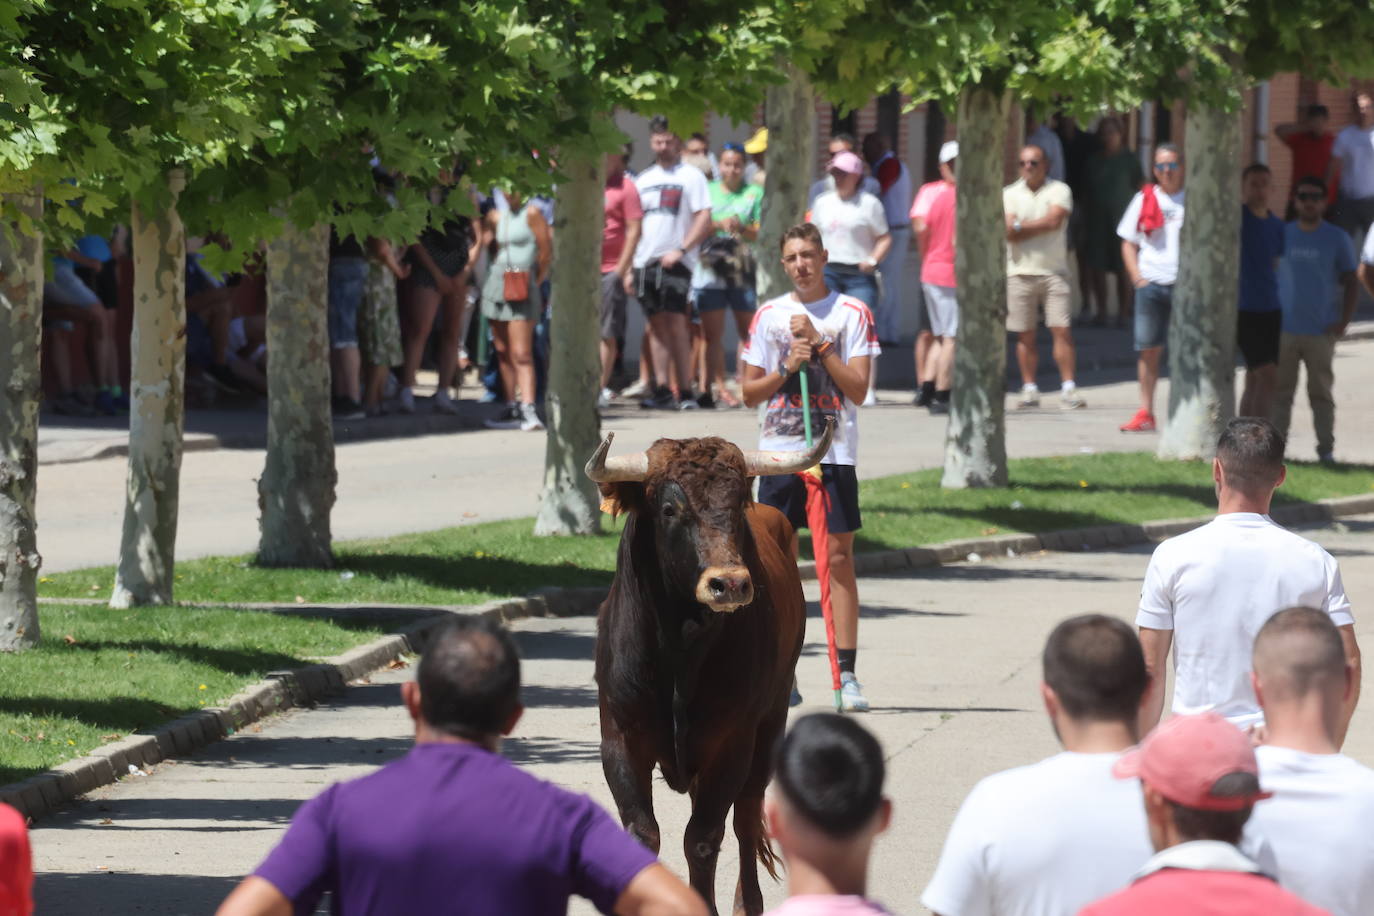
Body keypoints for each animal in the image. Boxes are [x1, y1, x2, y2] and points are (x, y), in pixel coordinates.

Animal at [585, 422, 829, 916]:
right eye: (669, 508)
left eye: (736, 504)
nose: (729, 584)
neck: (678, 648)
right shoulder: (619, 739)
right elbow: (643, 835)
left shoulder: (730, 744)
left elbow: (702, 838)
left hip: (769, 723)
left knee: (746, 817)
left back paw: (747, 902)